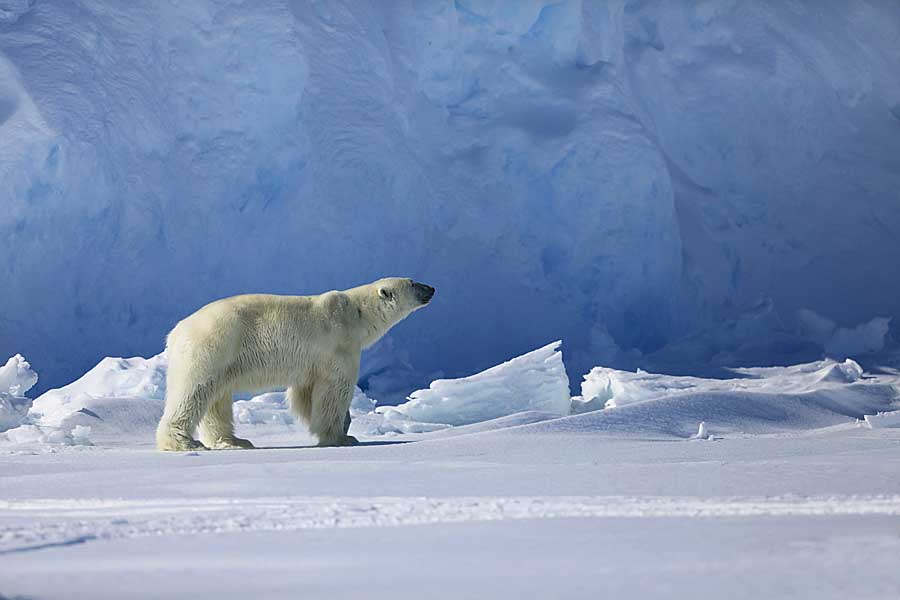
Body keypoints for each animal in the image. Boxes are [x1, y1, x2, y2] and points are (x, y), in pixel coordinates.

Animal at [155, 276, 436, 450]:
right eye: (413, 283)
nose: (432, 288)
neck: (356, 314)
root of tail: (175, 332)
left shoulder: (311, 364)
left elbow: (305, 395)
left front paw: (341, 428)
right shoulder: (339, 346)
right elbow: (334, 390)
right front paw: (342, 437)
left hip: (222, 359)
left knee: (217, 398)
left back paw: (233, 441)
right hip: (211, 347)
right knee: (194, 391)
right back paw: (184, 442)